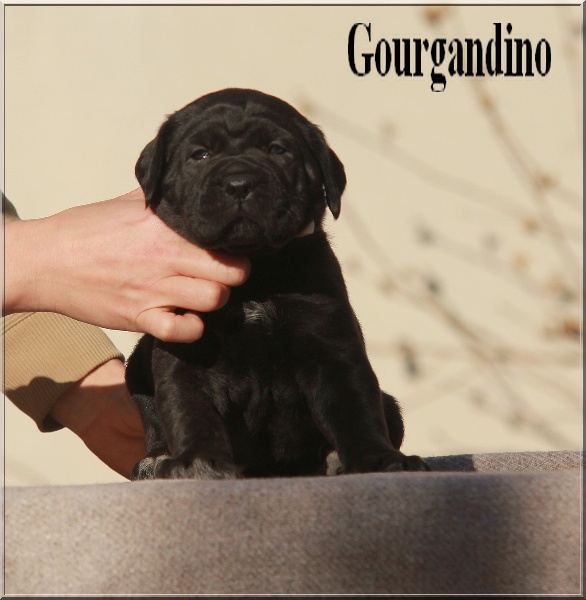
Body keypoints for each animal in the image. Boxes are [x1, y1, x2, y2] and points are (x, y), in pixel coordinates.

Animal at [126, 88, 430, 479]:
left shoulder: (332, 349)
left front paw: (379, 458)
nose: (239, 183)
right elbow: (189, 411)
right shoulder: (187, 353)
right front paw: (197, 460)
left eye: (277, 150)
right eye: (200, 154)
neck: (257, 274)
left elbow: (356, 410)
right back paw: (157, 460)